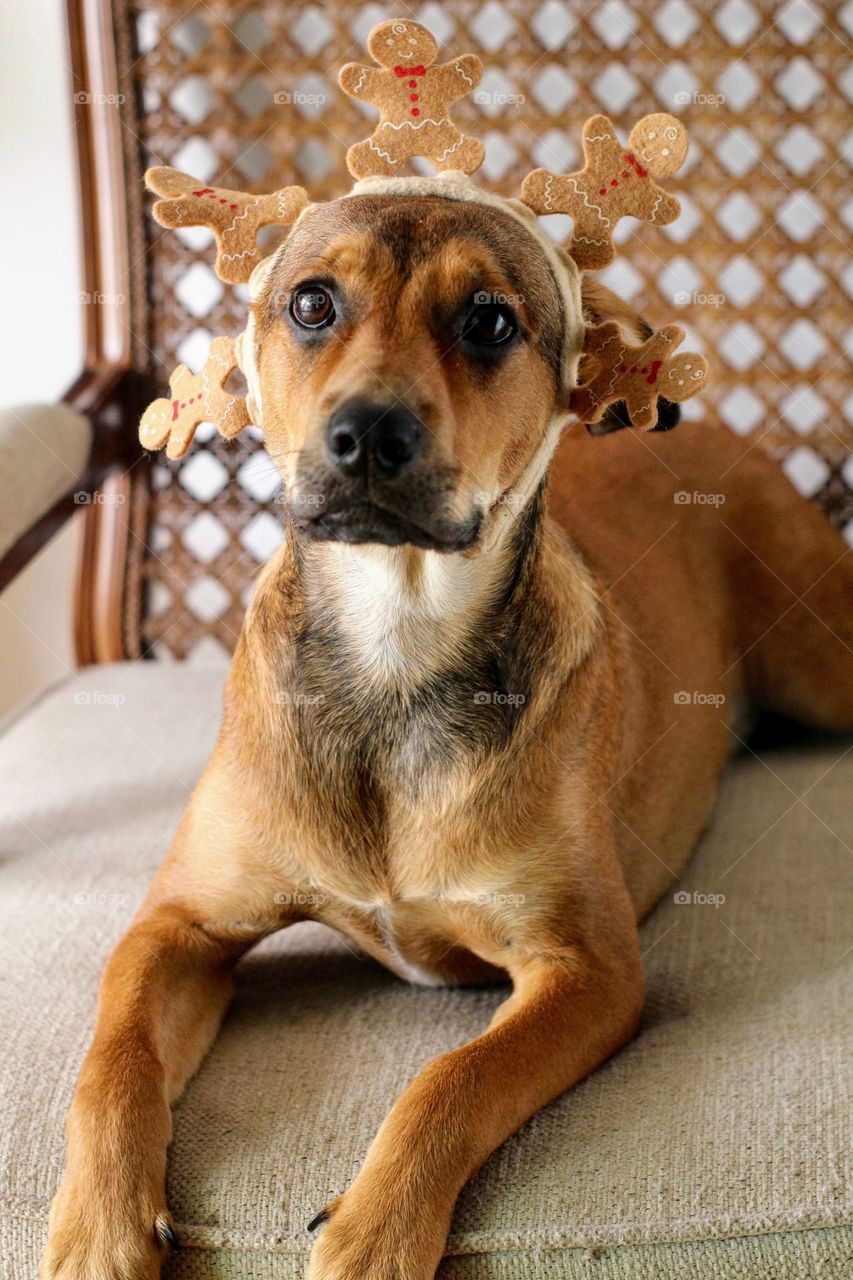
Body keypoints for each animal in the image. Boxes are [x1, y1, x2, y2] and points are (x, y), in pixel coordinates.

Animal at [41, 192, 850, 1280]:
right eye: (310, 302)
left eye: (490, 320)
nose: (366, 432)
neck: (395, 650)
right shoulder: (177, 926)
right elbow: (112, 1056)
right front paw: (98, 1223)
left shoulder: (587, 966)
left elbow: (452, 1077)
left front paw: (375, 1232)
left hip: (822, 655)